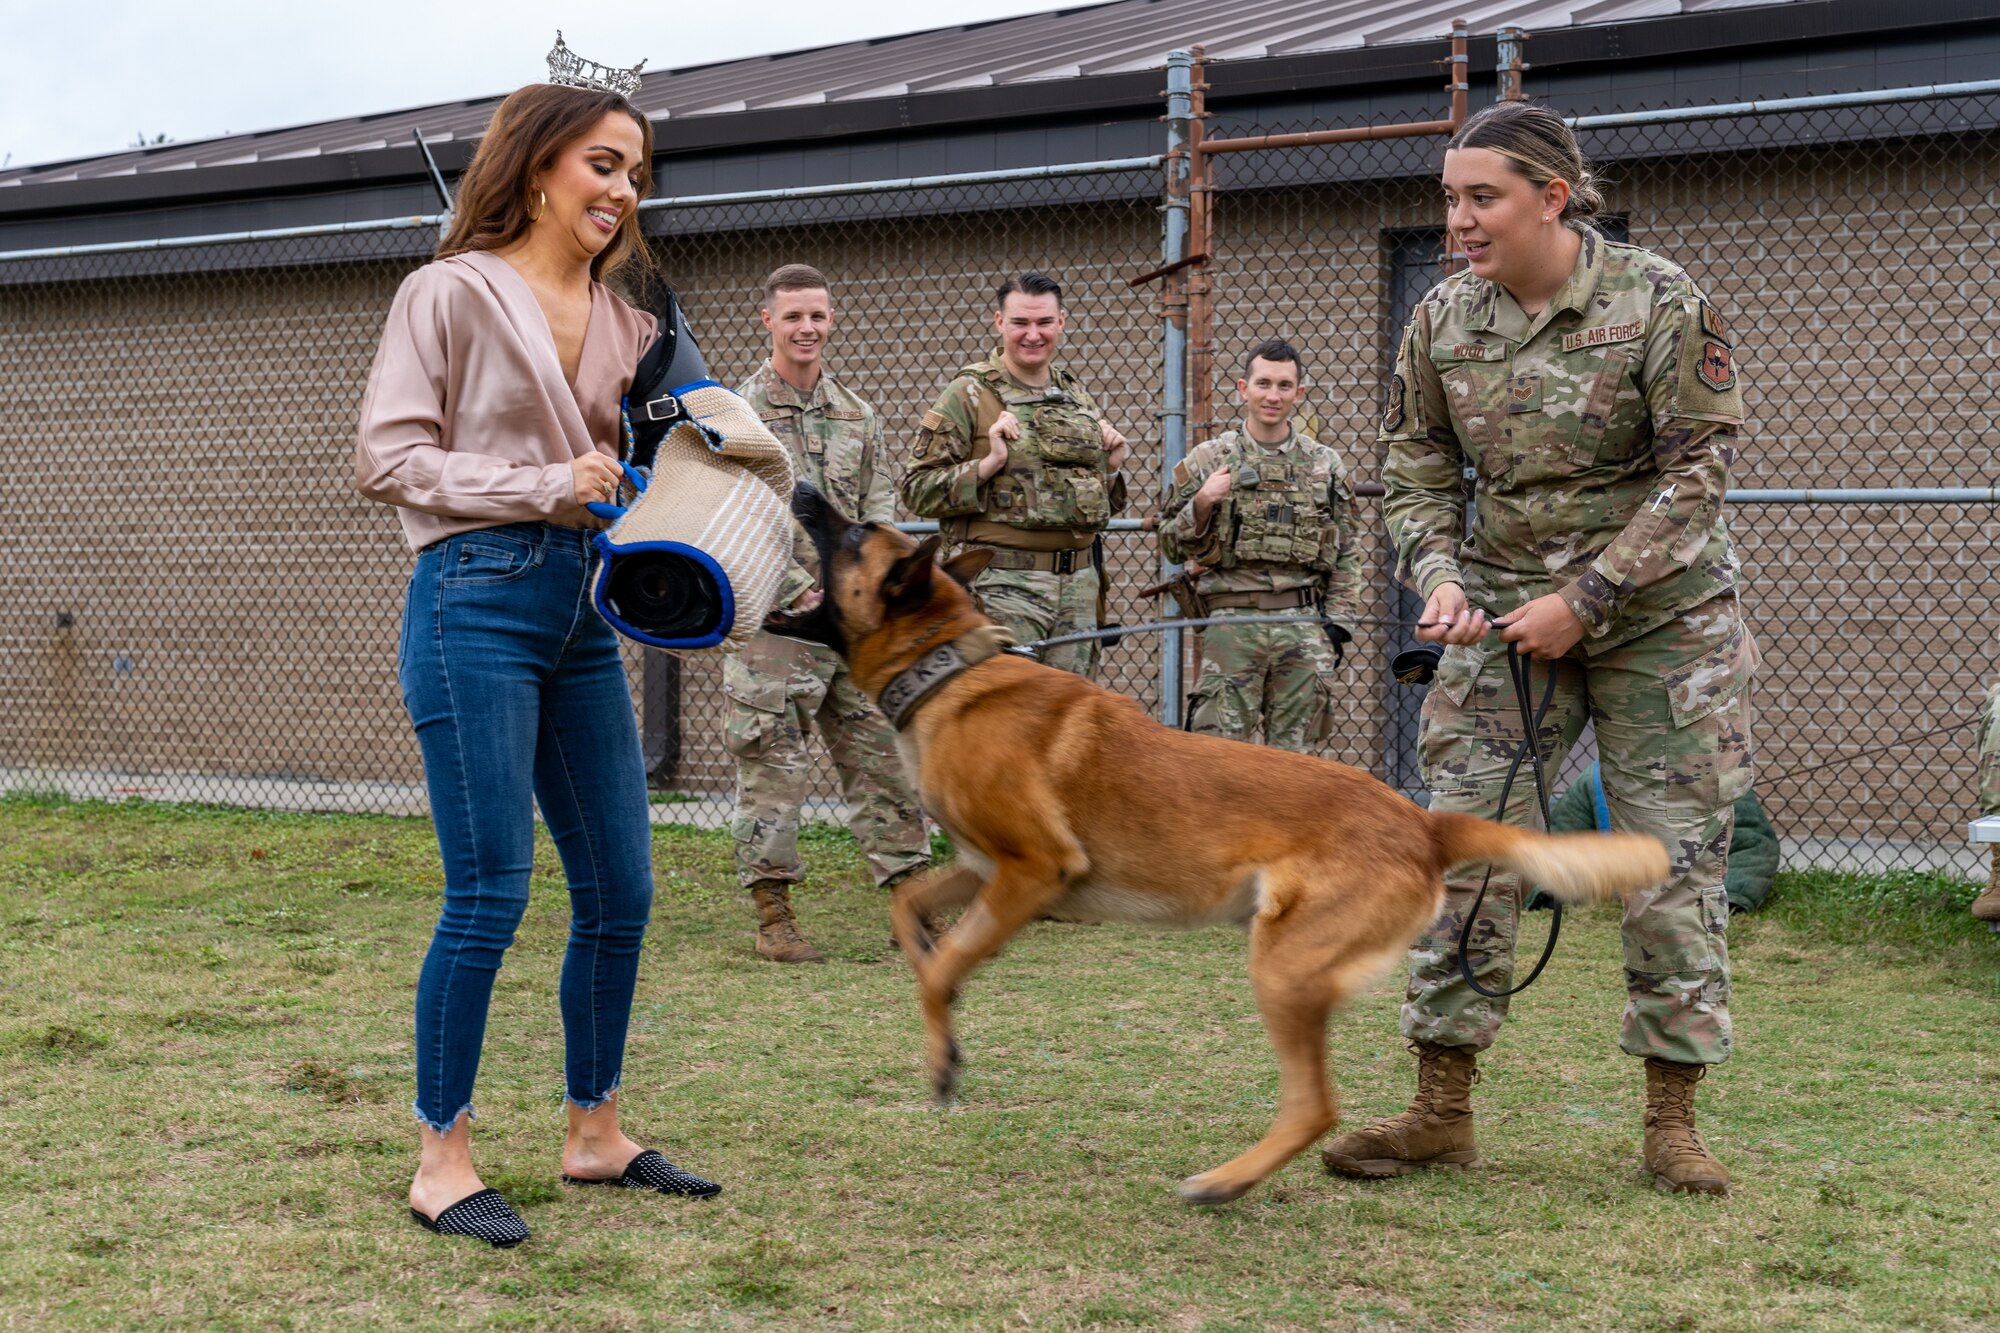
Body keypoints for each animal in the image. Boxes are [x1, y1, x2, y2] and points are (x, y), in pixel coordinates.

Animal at [764, 482, 1672, 1200]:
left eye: (851, 531)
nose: (802, 485)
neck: (951, 672)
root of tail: (1422, 819)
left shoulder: (1035, 870)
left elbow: (941, 969)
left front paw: (944, 1052)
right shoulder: (986, 868)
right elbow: (913, 911)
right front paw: (928, 966)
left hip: (1284, 967)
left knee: (1315, 1105)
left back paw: (1224, 1181)